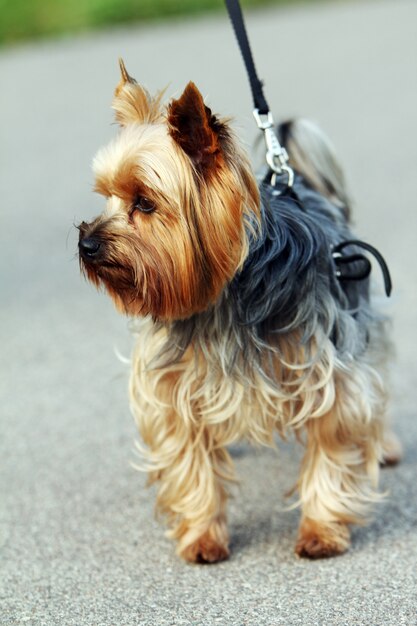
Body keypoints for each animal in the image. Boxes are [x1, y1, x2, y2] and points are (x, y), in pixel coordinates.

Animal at [77, 62, 400, 560]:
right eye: (106, 196)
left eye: (144, 203)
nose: (86, 244)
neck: (221, 298)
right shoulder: (173, 386)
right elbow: (189, 460)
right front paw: (201, 535)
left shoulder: (330, 370)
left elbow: (335, 442)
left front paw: (322, 530)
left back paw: (384, 446)